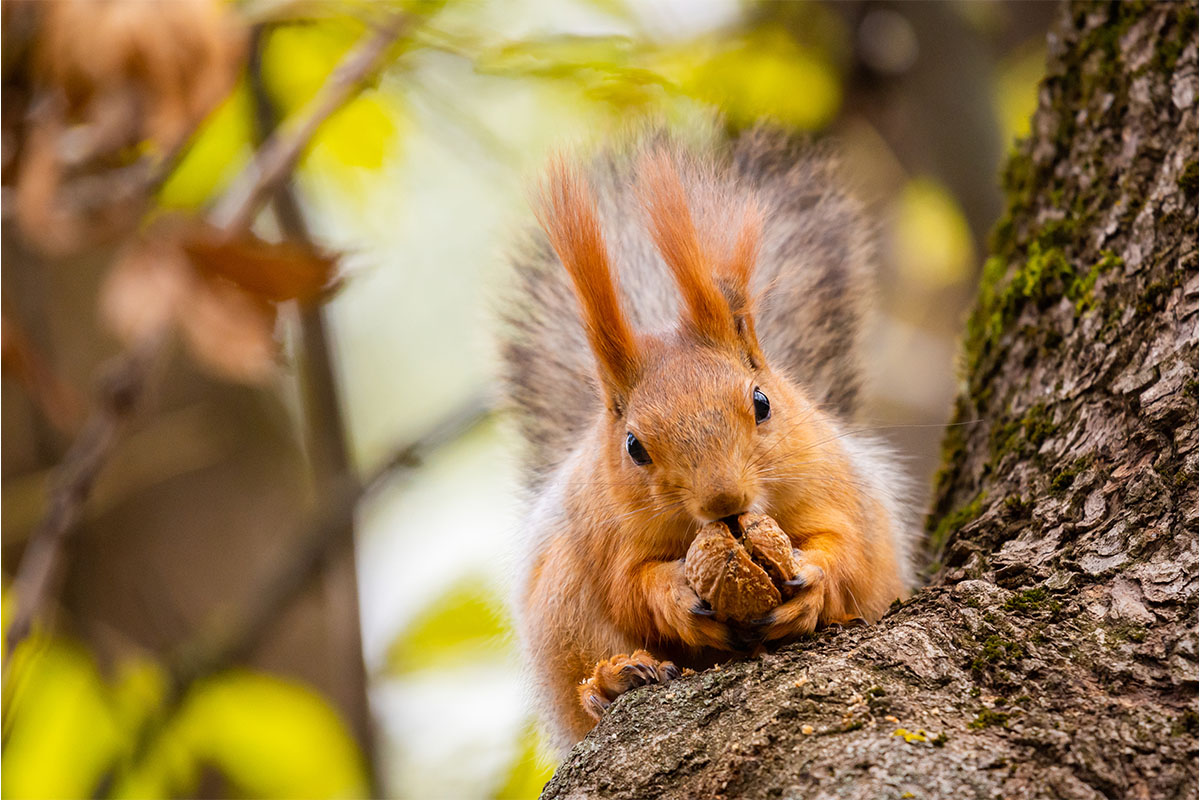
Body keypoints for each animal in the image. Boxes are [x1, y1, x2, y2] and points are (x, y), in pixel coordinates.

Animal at [496, 125, 916, 753]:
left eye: (762, 403)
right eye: (633, 446)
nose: (724, 500)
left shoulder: (833, 483)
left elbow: (845, 546)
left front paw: (814, 584)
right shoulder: (605, 526)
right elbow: (630, 585)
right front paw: (674, 595)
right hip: (563, 603)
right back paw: (613, 682)